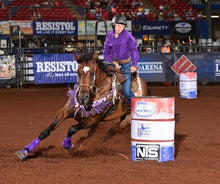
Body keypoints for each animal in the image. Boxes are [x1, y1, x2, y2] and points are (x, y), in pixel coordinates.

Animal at [14, 51, 149, 160]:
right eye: (77, 72)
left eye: (92, 73)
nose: (82, 97)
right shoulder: (65, 111)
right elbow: (47, 131)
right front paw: (25, 151)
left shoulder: (91, 121)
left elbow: (72, 129)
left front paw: (69, 145)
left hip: (127, 120)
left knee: (111, 131)